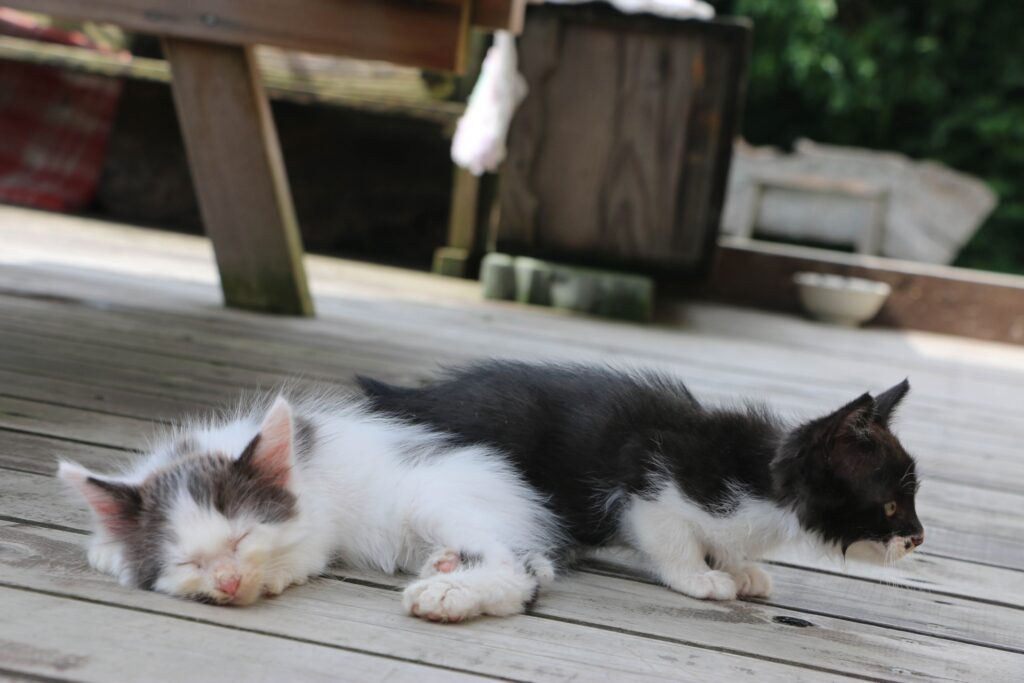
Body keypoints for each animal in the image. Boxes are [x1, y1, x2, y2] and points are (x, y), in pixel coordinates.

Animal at [58, 389, 561, 618]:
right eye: (187, 562)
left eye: (242, 538)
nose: (228, 582)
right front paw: (110, 551)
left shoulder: (318, 520)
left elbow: (307, 550)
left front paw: (274, 573)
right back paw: (445, 563)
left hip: (433, 501)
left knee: (512, 569)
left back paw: (448, 593)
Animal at [360, 360, 929, 602]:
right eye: (891, 505)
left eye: (912, 499)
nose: (919, 538)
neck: (765, 483)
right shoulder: (650, 478)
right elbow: (671, 534)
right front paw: (700, 576)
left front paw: (739, 565)